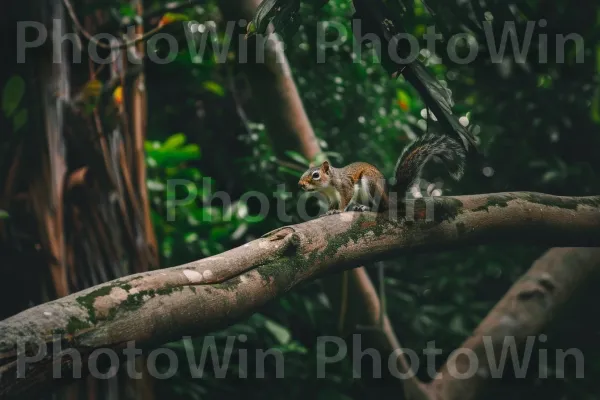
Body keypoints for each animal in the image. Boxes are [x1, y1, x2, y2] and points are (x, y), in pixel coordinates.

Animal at [298, 134, 466, 216]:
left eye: (315, 175)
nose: (300, 184)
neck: (328, 187)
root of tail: (389, 197)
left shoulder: (345, 186)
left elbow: (345, 199)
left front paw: (339, 211)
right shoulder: (331, 197)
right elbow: (332, 204)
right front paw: (330, 211)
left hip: (371, 183)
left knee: (381, 208)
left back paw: (367, 208)